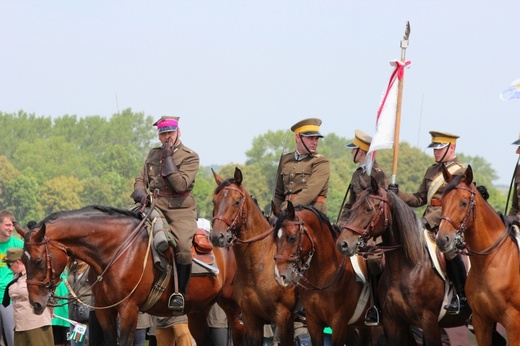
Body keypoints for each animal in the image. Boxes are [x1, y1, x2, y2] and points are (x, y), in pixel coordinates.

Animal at [15, 205, 244, 346]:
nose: (35, 303)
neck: (116, 250)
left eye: (38, 261)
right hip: (198, 310)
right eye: (24, 261)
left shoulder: (128, 310)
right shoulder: (105, 311)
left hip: (232, 307)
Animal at [270, 201, 372, 344]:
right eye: (275, 238)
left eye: (292, 238)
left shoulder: (339, 324)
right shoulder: (313, 322)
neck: (324, 276)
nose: (280, 276)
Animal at [336, 178, 470, 346]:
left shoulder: (429, 322)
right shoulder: (393, 323)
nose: (343, 243)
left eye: (368, 209)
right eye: (351, 208)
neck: (405, 269)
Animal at [434, 166, 520, 346]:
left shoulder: (513, 323)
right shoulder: (481, 321)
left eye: (464, 203)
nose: (442, 239)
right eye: (442, 201)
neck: (487, 263)